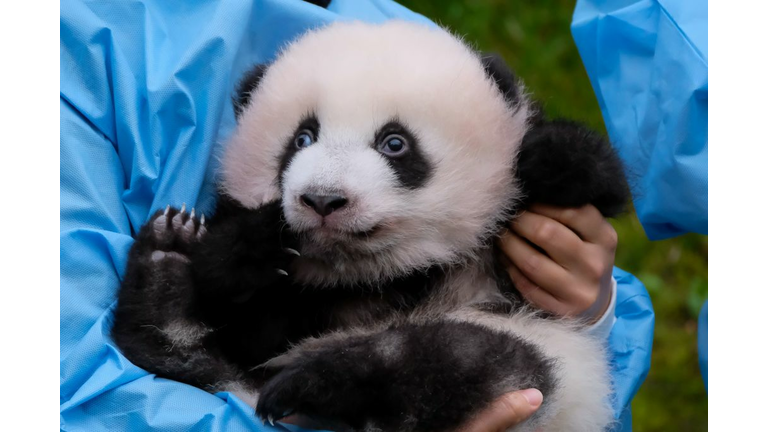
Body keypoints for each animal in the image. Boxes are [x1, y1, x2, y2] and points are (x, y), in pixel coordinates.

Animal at [112, 21, 629, 432]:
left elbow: (592, 175)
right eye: (302, 138)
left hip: (540, 363)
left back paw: (318, 383)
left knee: (458, 361)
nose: (323, 200)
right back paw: (165, 275)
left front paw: (550, 158)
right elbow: (233, 280)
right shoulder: (281, 306)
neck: (373, 275)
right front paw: (251, 246)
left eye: (394, 143)